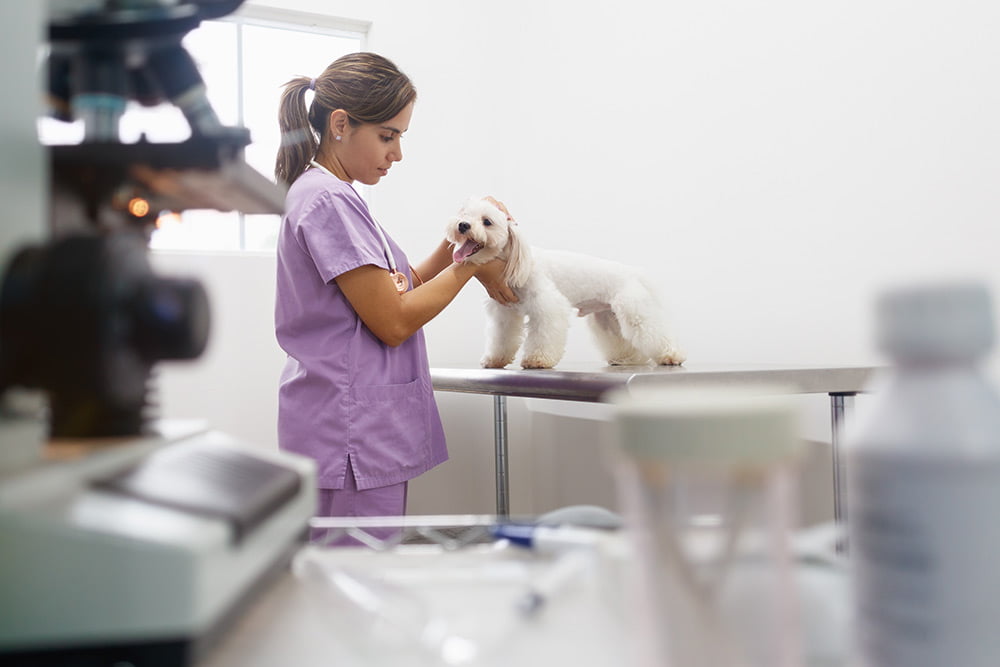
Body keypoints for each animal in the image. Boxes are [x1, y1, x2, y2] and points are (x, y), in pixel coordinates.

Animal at [448, 197, 688, 370]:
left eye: (487, 221)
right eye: (464, 214)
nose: (462, 225)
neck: (515, 263)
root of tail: (633, 272)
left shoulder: (547, 307)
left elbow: (544, 333)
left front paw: (538, 360)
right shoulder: (504, 314)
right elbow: (501, 337)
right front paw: (495, 359)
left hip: (634, 311)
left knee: (654, 332)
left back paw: (671, 355)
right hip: (608, 318)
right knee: (623, 340)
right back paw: (625, 359)